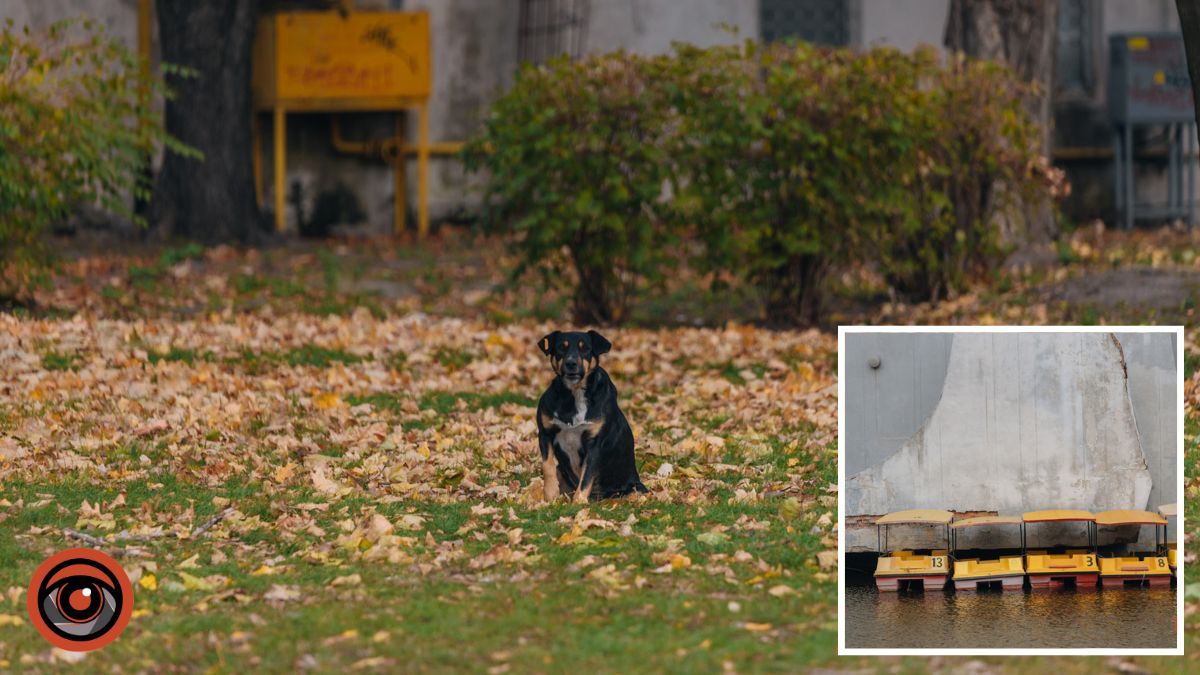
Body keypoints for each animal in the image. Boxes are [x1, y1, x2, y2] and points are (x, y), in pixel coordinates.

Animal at [537, 329, 648, 502]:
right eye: (561, 347)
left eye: (585, 349)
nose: (571, 363)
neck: (573, 395)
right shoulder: (545, 432)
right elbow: (547, 466)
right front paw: (550, 496)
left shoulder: (595, 443)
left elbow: (586, 477)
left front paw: (578, 502)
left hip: (635, 488)